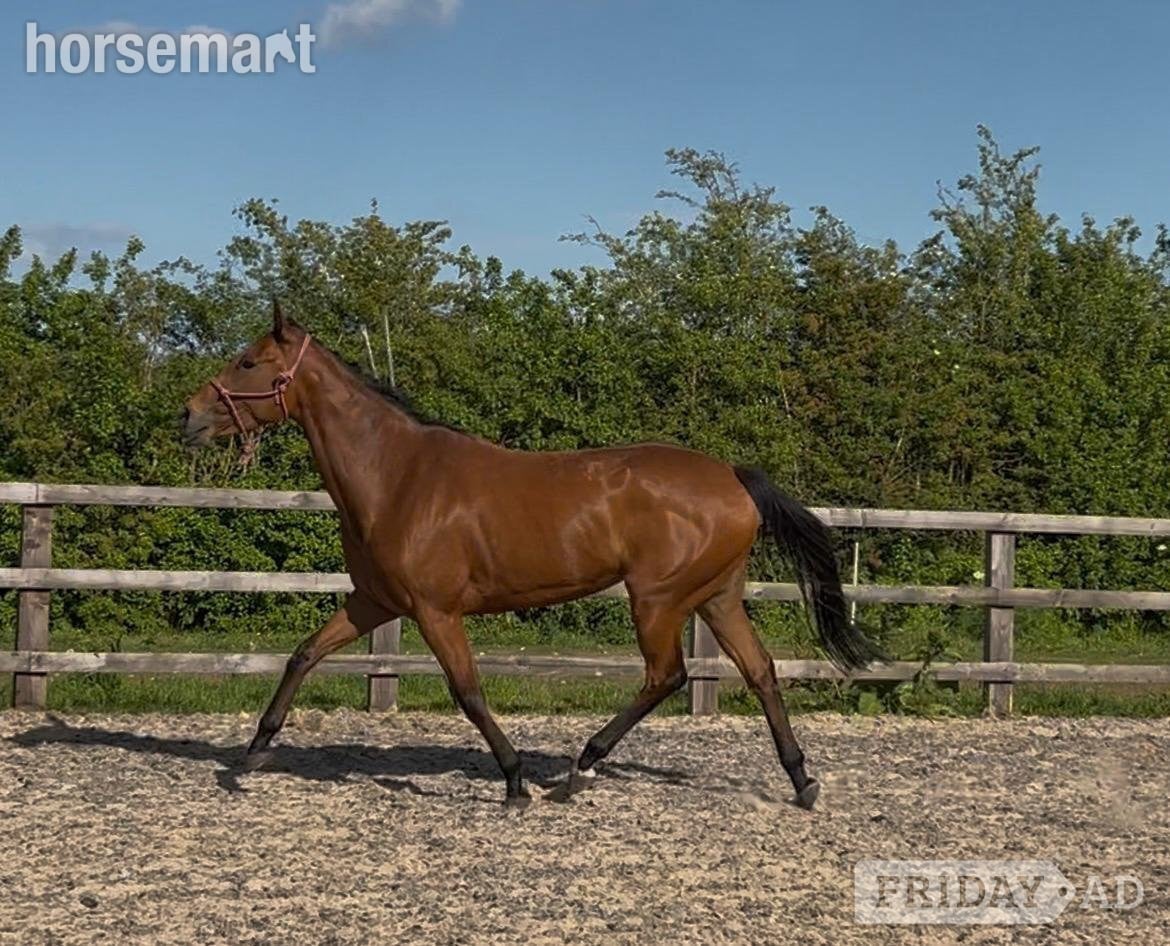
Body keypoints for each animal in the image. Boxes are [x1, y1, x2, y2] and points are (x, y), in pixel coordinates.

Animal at [180, 301, 881, 809]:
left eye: (247, 361)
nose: (188, 417)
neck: (397, 476)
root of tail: (734, 478)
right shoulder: (374, 601)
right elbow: (303, 655)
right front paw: (254, 751)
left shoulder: (434, 611)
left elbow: (468, 691)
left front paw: (515, 781)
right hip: (716, 597)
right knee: (760, 671)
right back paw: (801, 781)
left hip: (657, 600)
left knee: (668, 676)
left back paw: (580, 768)